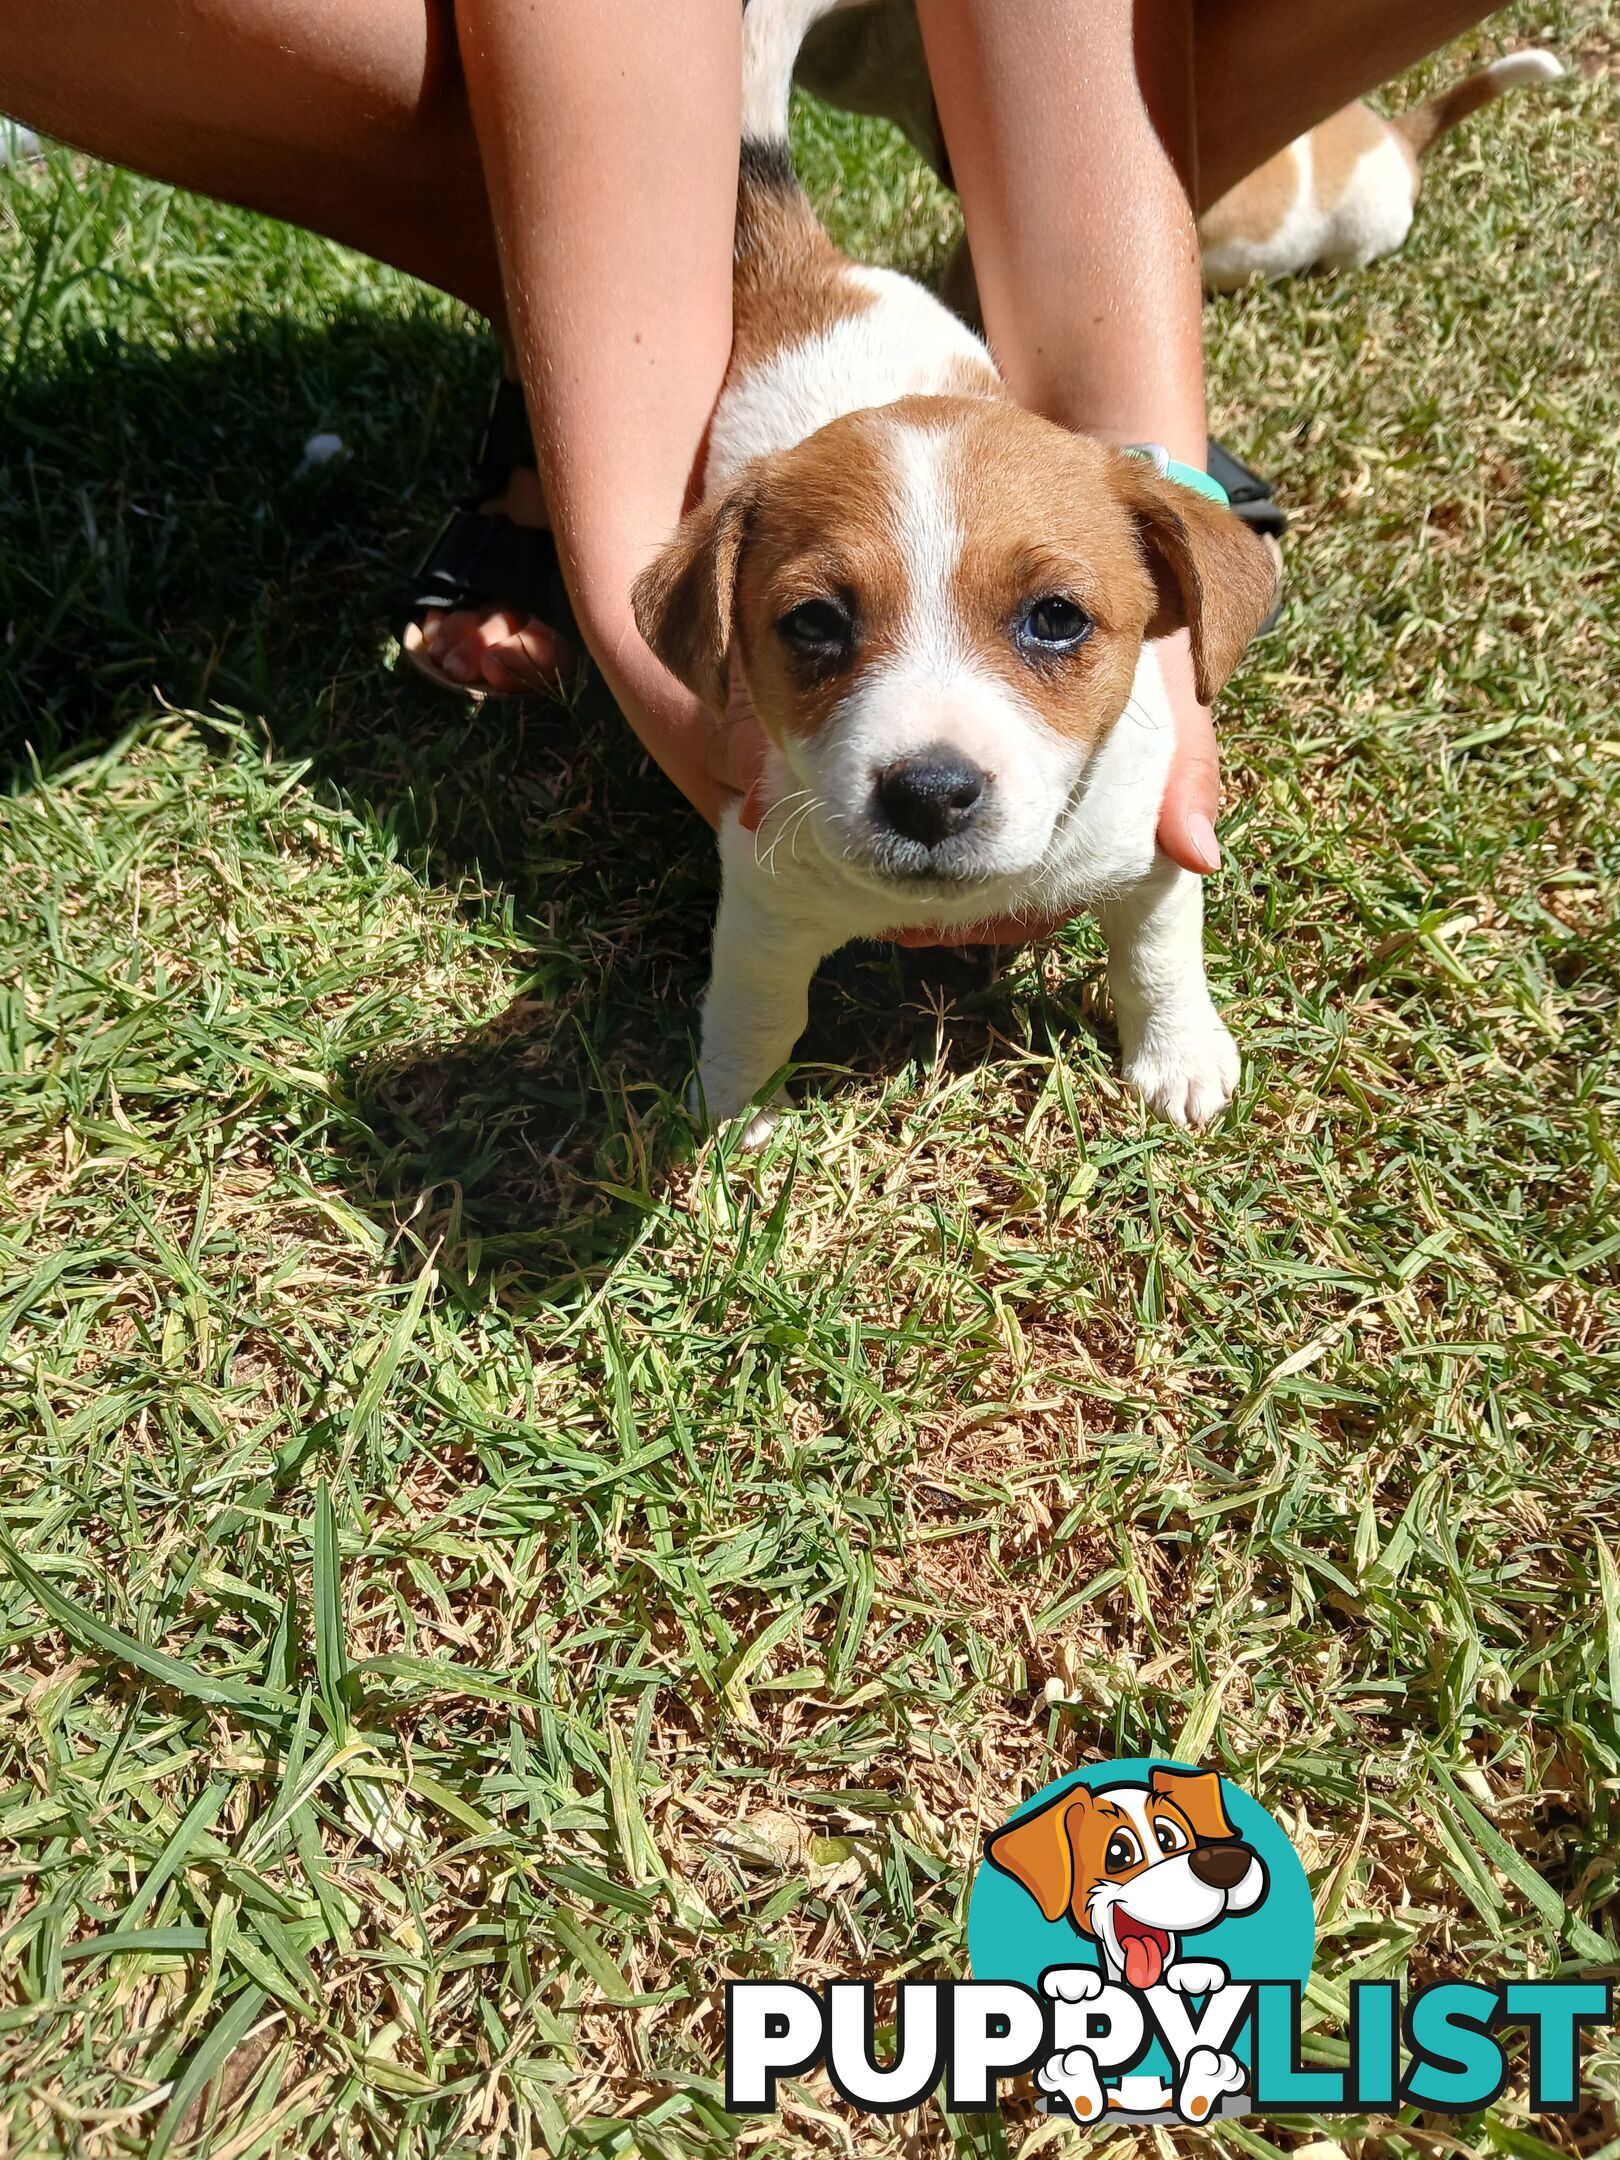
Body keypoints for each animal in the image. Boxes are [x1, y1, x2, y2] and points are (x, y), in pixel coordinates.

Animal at [635, 0, 1278, 1140]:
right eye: (813, 624)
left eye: (1057, 619)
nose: (929, 795)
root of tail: (808, 272)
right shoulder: (762, 891)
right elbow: (757, 1004)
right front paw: (736, 1107)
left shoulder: (1155, 845)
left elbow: (1158, 953)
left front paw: (1179, 1052)